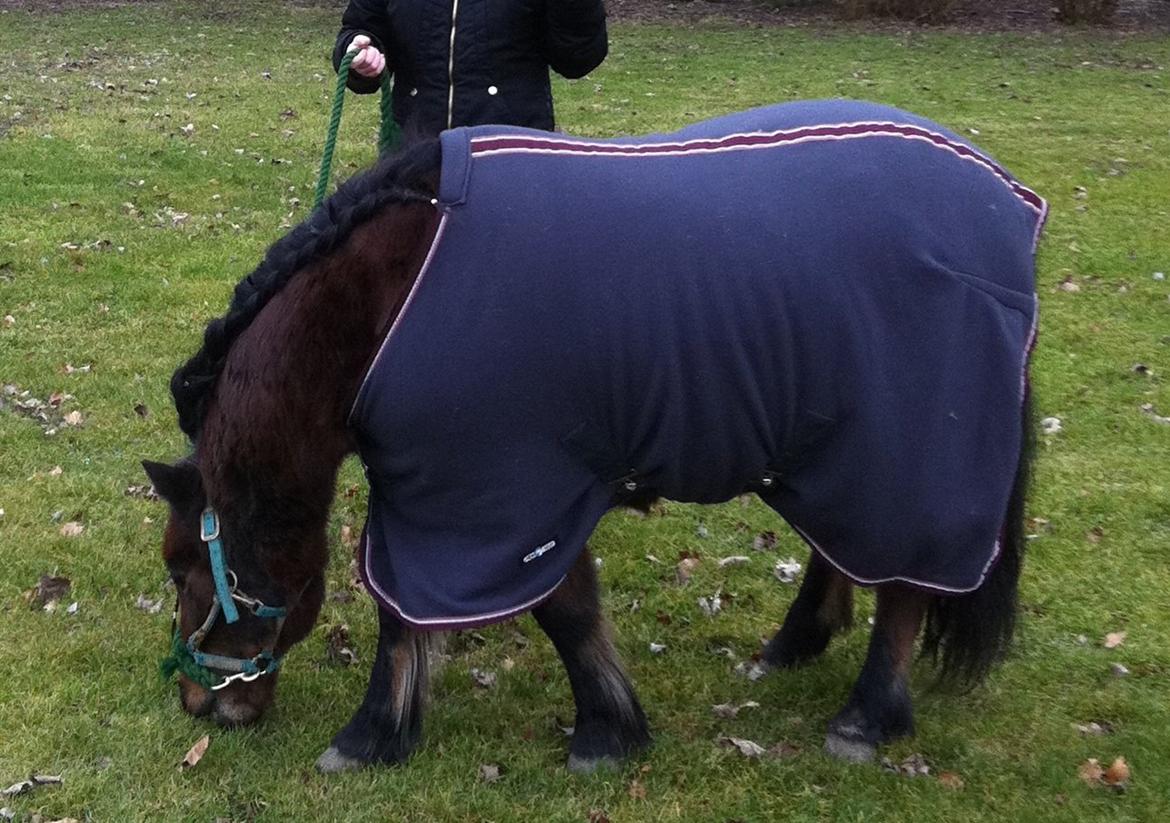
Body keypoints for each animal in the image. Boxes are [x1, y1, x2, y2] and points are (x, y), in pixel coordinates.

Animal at [141, 98, 1048, 772]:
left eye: (184, 567)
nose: (200, 705)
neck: (388, 301)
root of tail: (1009, 203)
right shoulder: (476, 493)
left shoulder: (491, 496)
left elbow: (527, 612)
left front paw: (377, 737)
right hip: (838, 450)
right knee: (847, 551)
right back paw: (791, 645)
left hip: (908, 453)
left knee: (901, 586)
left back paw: (865, 717)